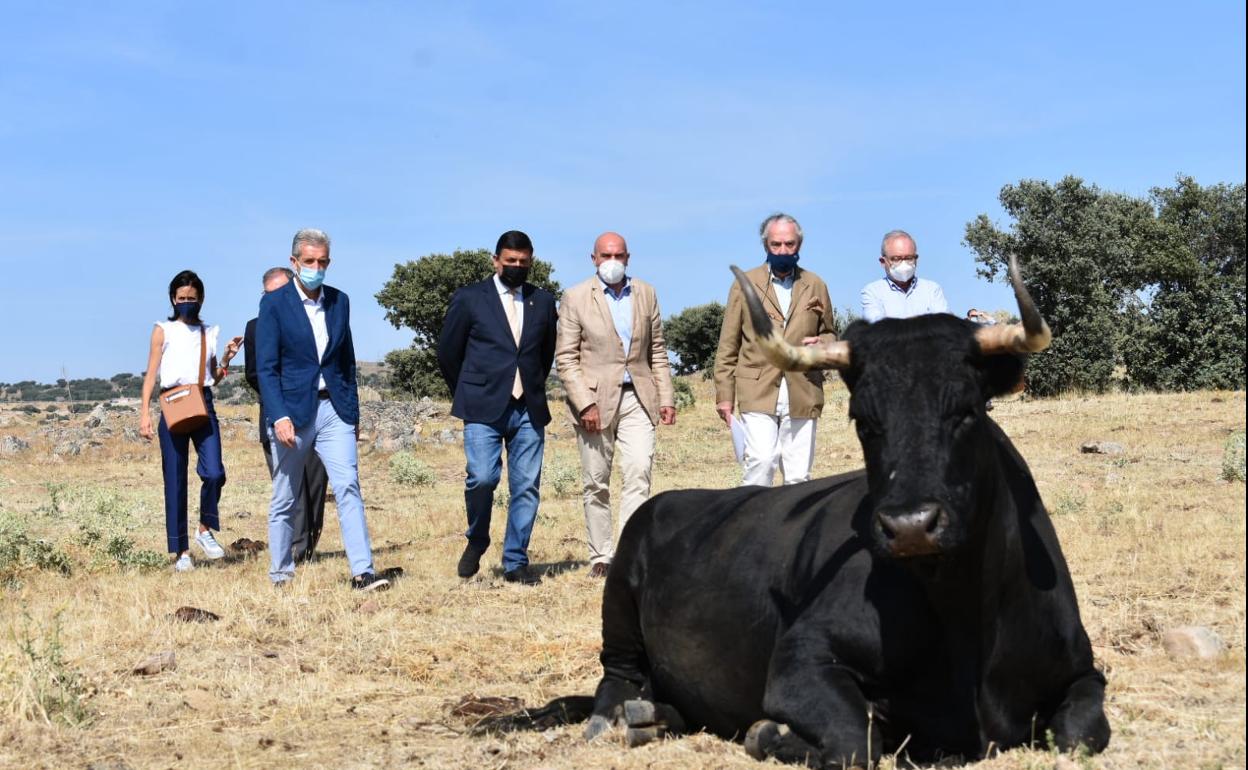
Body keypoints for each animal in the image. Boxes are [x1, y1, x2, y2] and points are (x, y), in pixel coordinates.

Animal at [479, 263, 1113, 763]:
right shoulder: (799, 662)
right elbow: (857, 741)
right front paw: (769, 733)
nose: (910, 527)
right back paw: (629, 718)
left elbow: (1083, 733)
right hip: (619, 614)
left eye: (968, 409)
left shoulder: (1082, 671)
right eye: (864, 419)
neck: (963, 615)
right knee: (613, 685)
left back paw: (658, 717)